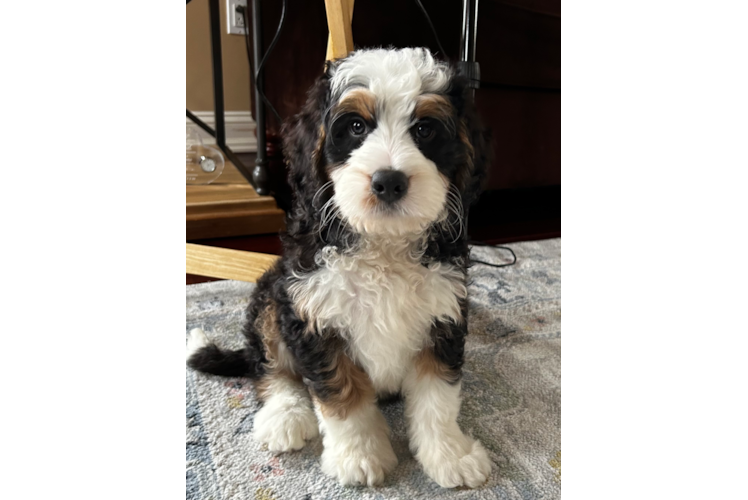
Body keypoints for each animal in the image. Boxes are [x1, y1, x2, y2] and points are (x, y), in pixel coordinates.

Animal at [186, 47, 490, 488]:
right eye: (356, 127)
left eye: (425, 130)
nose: (389, 181)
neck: (382, 244)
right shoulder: (313, 315)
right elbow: (342, 396)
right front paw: (359, 456)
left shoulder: (443, 312)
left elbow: (438, 396)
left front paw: (451, 454)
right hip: (271, 297)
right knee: (271, 369)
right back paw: (284, 417)